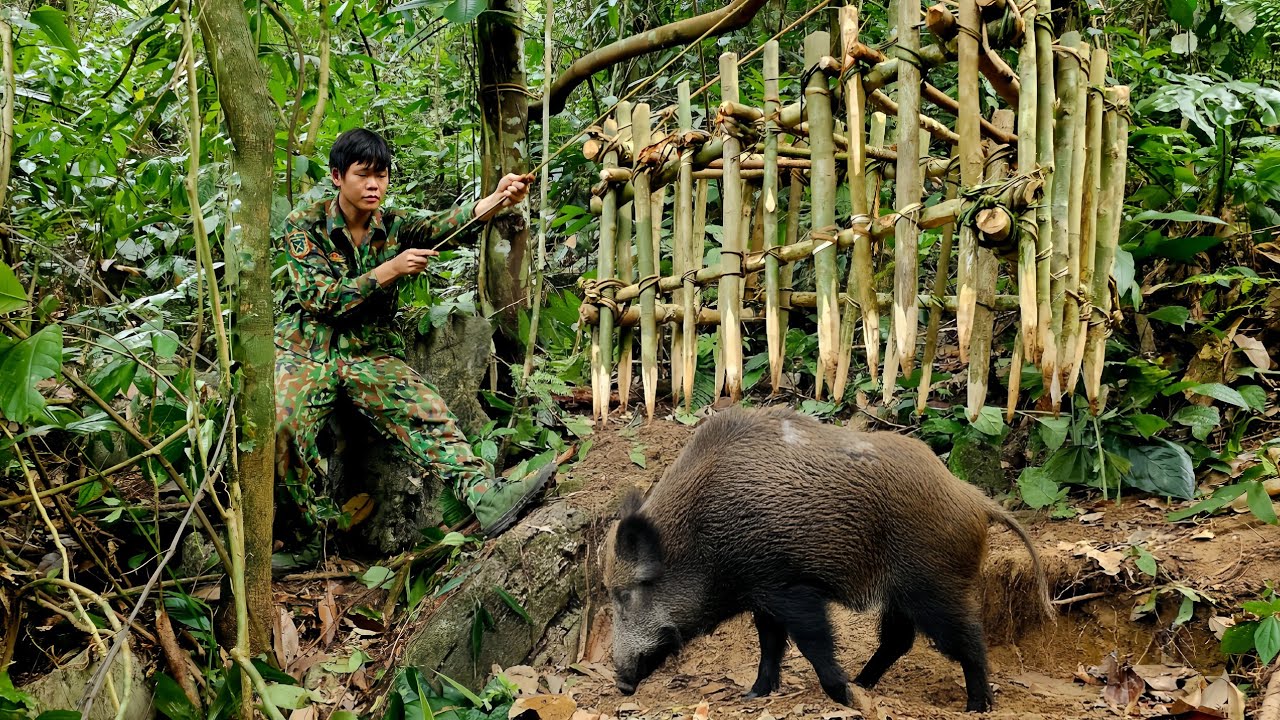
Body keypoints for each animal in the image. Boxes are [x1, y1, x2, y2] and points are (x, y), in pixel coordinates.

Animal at [604, 405, 1051, 713]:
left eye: (627, 594)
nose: (622, 684)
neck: (701, 534)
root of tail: (973, 499)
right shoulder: (763, 594)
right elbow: (770, 645)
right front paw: (754, 694)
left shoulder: (789, 587)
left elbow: (812, 641)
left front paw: (841, 696)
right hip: (901, 594)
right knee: (898, 639)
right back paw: (865, 683)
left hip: (934, 585)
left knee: (967, 638)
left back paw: (976, 706)